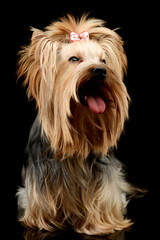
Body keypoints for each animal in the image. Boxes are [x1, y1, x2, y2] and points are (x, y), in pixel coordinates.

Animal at [16, 14, 136, 235]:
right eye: (74, 59)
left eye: (103, 60)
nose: (100, 71)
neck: (79, 129)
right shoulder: (40, 176)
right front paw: (43, 222)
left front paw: (101, 225)